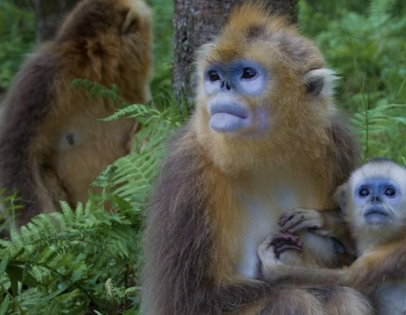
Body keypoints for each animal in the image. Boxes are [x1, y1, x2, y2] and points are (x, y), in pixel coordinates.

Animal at [142, 2, 372, 315]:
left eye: (248, 74)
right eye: (214, 76)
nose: (224, 85)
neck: (265, 155)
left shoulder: (338, 143)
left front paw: (326, 222)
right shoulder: (187, 175)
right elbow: (189, 300)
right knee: (294, 299)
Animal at [258, 160, 406, 315]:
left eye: (389, 192)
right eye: (364, 192)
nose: (375, 199)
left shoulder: (396, 250)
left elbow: (348, 280)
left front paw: (271, 269)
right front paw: (323, 220)